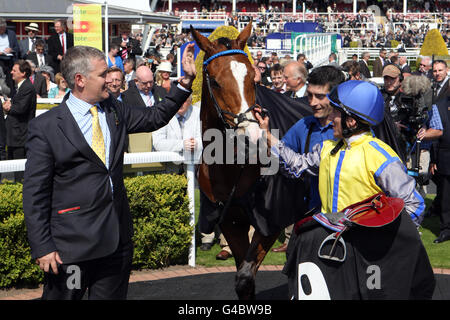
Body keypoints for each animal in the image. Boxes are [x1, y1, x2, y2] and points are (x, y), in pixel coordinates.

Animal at [190, 23, 282, 300]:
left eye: (254, 78)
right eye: (215, 82)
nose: (252, 135)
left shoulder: (270, 219)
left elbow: (245, 276)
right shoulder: (230, 219)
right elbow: (244, 279)